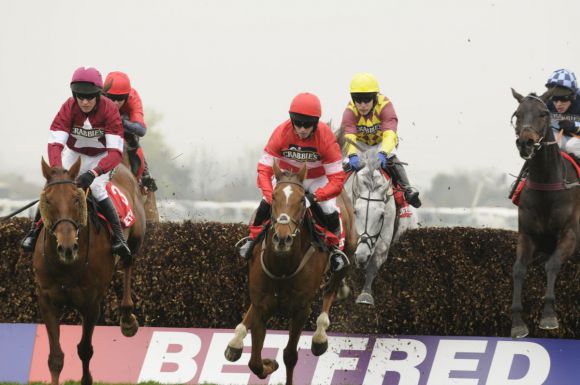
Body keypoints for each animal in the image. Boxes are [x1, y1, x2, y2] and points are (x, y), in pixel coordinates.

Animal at [32, 157, 146, 384]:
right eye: (47, 201)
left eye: (77, 199)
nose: (67, 248)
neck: (66, 266)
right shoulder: (47, 300)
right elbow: (55, 357)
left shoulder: (91, 303)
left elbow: (85, 349)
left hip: (136, 238)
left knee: (128, 261)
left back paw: (128, 318)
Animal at [224, 161, 356, 384]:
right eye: (274, 197)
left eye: (302, 200)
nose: (282, 238)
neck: (282, 266)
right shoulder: (261, 307)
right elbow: (254, 361)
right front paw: (269, 363)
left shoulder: (301, 310)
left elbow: (290, 355)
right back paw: (235, 343)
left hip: (348, 252)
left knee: (331, 289)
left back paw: (320, 336)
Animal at [510, 88, 576, 338]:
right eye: (517, 114)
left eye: (543, 113)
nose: (525, 142)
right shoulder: (527, 235)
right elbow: (518, 269)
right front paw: (517, 322)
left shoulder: (570, 235)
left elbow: (553, 264)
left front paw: (548, 315)